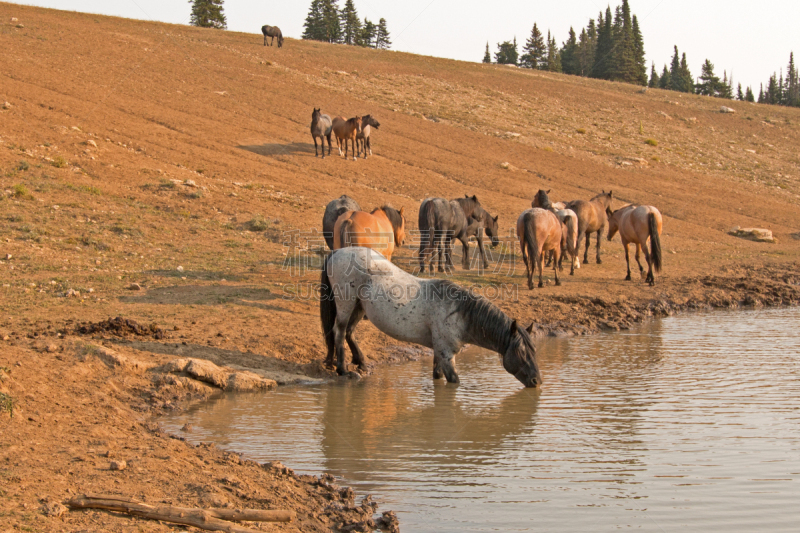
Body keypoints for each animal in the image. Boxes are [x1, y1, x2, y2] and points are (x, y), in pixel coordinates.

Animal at [320, 245, 544, 386]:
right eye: (521, 352)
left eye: (534, 350)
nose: (537, 381)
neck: (459, 314)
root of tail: (337, 252)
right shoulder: (447, 356)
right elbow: (454, 382)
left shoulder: (438, 353)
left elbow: (437, 377)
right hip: (346, 303)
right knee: (339, 332)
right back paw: (343, 369)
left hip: (359, 306)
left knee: (349, 332)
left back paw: (361, 363)